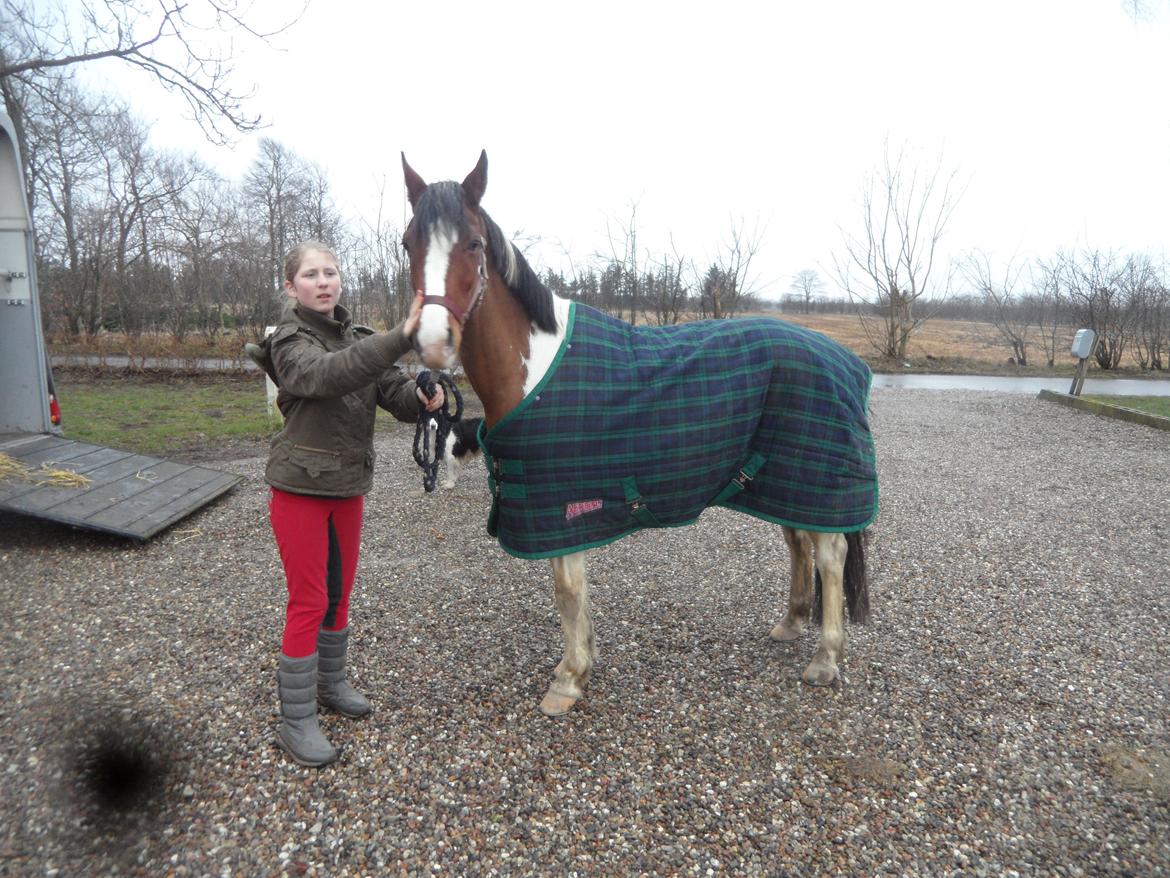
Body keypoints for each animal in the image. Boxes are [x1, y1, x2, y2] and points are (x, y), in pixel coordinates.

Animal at [401, 151, 878, 716]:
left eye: (472, 244)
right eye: (408, 242)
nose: (432, 343)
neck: (536, 369)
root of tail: (846, 360)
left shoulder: (562, 504)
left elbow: (567, 590)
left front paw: (569, 679)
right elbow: (575, 595)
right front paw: (580, 662)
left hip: (818, 481)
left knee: (830, 555)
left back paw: (825, 661)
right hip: (787, 478)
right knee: (797, 541)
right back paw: (791, 623)